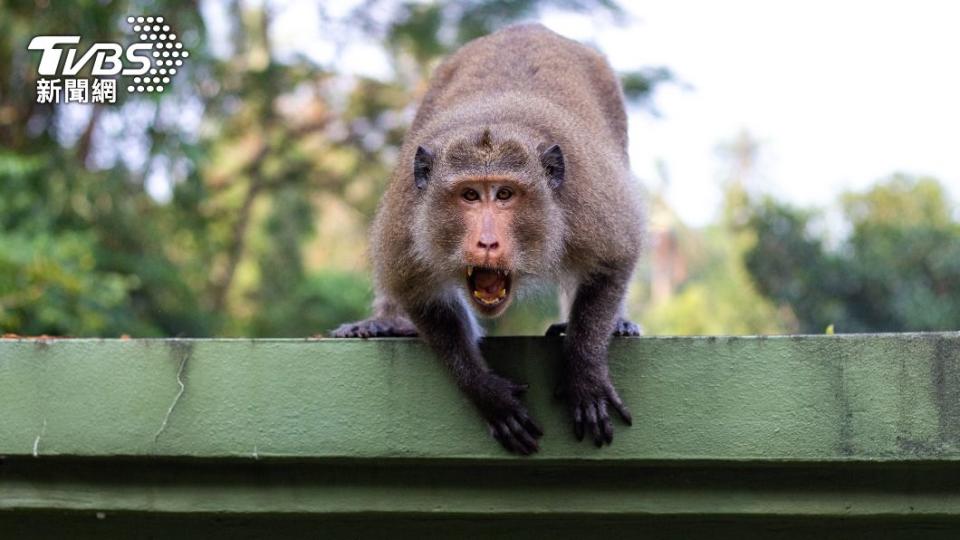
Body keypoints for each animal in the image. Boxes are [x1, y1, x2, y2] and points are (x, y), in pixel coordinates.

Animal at [332, 24, 644, 456]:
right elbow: (417, 293)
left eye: (505, 194)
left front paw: (584, 371)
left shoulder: (589, 200)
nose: (487, 242)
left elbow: (613, 259)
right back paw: (387, 322)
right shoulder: (406, 217)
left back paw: (617, 323)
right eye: (469, 195)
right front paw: (485, 391)